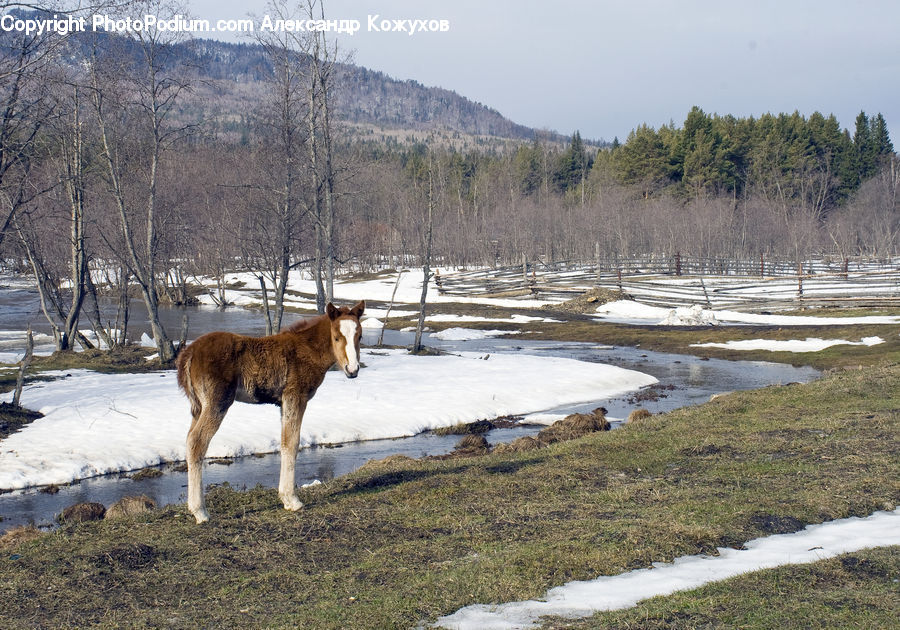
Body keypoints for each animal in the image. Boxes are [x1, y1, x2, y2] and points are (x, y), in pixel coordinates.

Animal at [176, 301, 365, 523]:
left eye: (359, 336)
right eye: (336, 336)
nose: (352, 369)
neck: (308, 350)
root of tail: (188, 354)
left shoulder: (283, 403)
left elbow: (284, 443)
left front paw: (285, 498)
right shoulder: (295, 396)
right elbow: (292, 443)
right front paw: (293, 500)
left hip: (198, 407)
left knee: (189, 440)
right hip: (217, 403)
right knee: (197, 443)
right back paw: (201, 512)